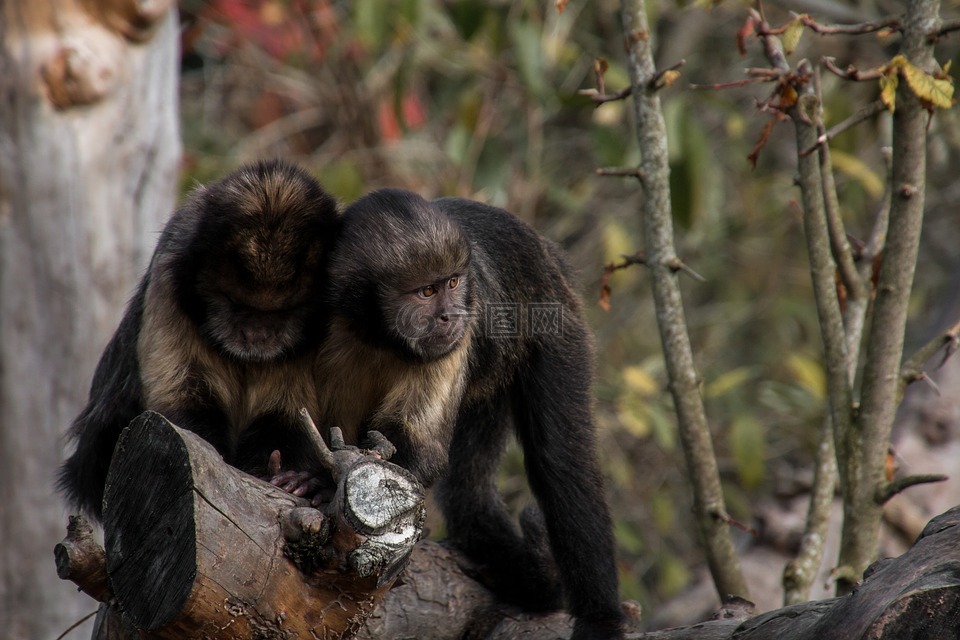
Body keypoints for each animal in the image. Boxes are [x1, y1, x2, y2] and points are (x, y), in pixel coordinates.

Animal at [56, 159, 340, 520]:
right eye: (236, 305)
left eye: (284, 312)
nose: (257, 335)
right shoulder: (170, 274)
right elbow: (182, 397)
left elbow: (289, 415)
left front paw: (288, 475)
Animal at [314, 190, 632, 640]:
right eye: (426, 292)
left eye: (452, 284)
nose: (451, 315)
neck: (380, 334)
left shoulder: (460, 334)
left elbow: (423, 448)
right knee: (469, 494)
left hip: (554, 319)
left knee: (563, 462)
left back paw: (597, 616)